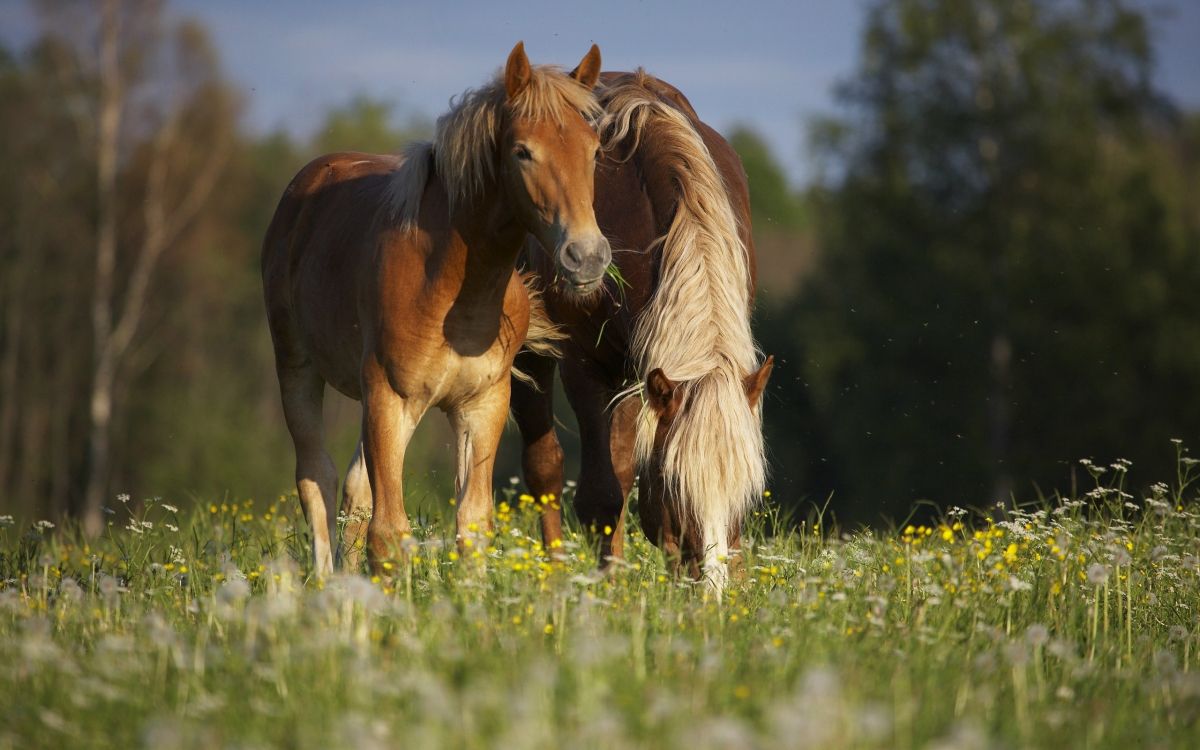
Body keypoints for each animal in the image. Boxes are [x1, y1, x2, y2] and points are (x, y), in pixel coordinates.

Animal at [262, 42, 610, 577]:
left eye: (594, 150)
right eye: (522, 151)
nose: (587, 256)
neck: (450, 288)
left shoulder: (481, 405)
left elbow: (472, 524)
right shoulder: (389, 397)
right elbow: (388, 533)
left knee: (353, 490)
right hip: (299, 368)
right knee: (316, 478)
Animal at [511, 70, 774, 589]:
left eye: (747, 491)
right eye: (676, 486)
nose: (711, 590)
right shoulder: (586, 367)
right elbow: (600, 496)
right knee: (546, 467)